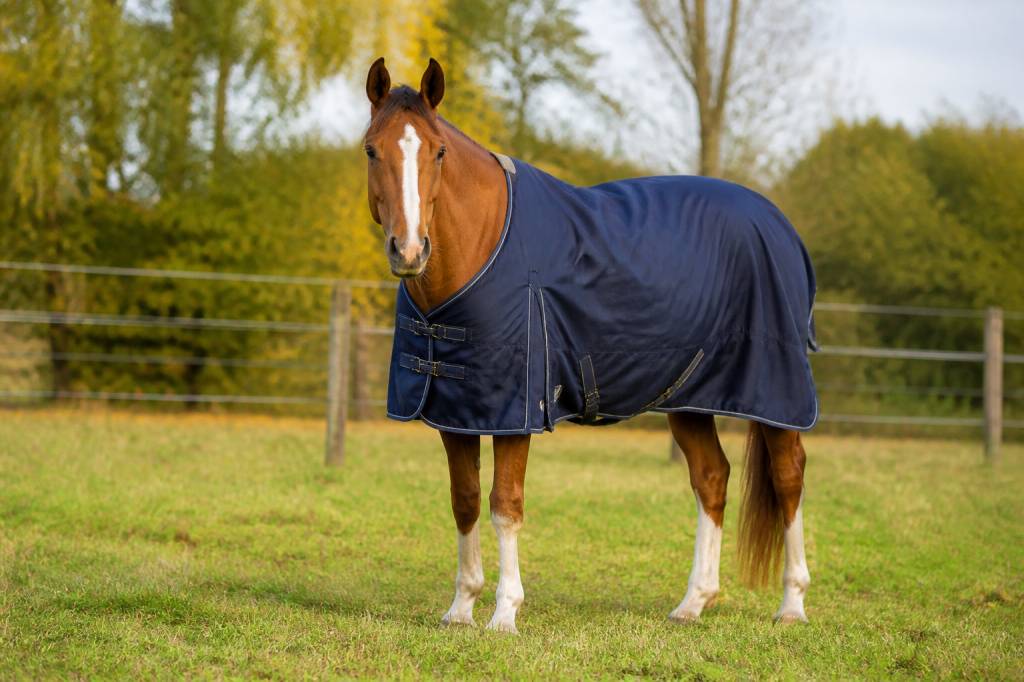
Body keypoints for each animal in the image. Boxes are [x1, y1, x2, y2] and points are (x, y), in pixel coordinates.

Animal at [363, 57, 814, 633]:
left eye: (438, 151)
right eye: (371, 149)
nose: (409, 250)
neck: (483, 246)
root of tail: (778, 224)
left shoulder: (516, 412)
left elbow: (505, 504)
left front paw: (504, 614)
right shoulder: (457, 409)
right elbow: (464, 501)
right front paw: (461, 609)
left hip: (776, 393)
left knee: (788, 477)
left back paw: (792, 604)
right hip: (689, 398)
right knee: (712, 477)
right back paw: (693, 603)